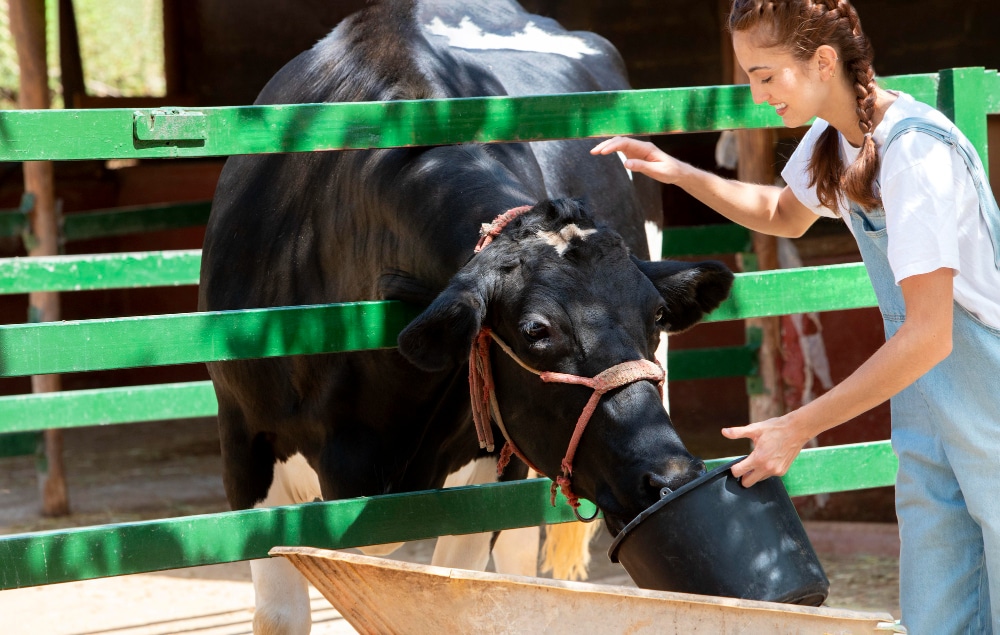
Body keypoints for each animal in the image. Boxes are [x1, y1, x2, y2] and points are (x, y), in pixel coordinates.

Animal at [199, 2, 736, 632]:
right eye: (535, 331)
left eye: (654, 316)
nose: (672, 477)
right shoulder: (244, 447)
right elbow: (281, 614)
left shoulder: (487, 471)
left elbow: (458, 590)